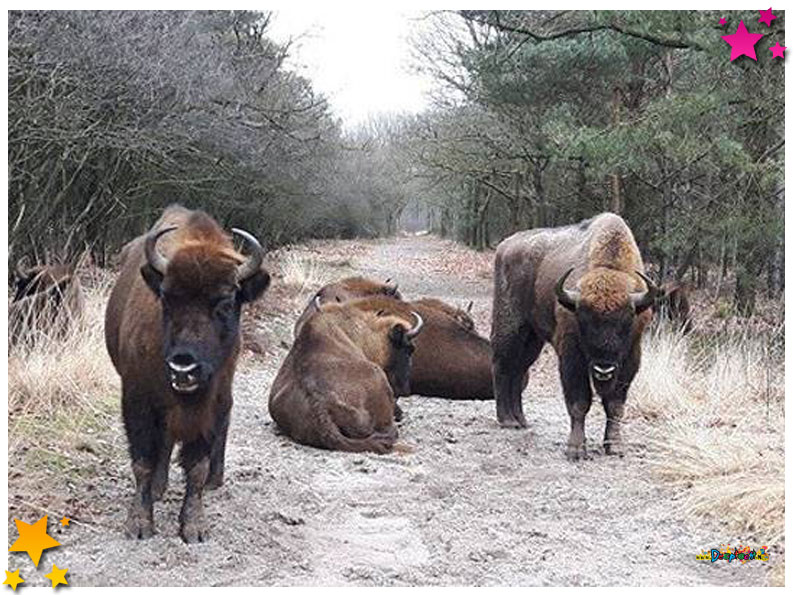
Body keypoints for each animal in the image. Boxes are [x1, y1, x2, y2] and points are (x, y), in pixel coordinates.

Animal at [104, 206, 270, 544]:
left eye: (225, 302)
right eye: (167, 298)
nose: (184, 365)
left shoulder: (213, 405)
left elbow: (197, 468)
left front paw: (194, 527)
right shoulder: (137, 401)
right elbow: (142, 461)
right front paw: (139, 524)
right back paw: (158, 489)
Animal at [488, 214, 656, 460]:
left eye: (626, 322)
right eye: (584, 321)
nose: (603, 369)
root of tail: (504, 246)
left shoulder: (630, 358)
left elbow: (615, 405)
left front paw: (614, 446)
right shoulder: (572, 357)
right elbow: (579, 402)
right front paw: (576, 449)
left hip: (532, 338)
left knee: (517, 370)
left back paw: (521, 420)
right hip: (510, 327)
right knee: (501, 366)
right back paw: (507, 420)